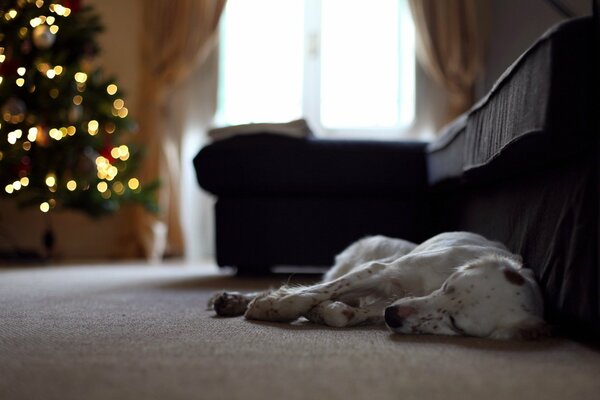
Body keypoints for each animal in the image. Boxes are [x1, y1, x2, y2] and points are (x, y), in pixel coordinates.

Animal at [207, 231, 548, 340]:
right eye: (449, 285)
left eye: (456, 324)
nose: (393, 317)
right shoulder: (380, 270)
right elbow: (306, 294)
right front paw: (272, 308)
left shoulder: (386, 302)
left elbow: (341, 313)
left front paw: (322, 312)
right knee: (314, 283)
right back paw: (235, 299)